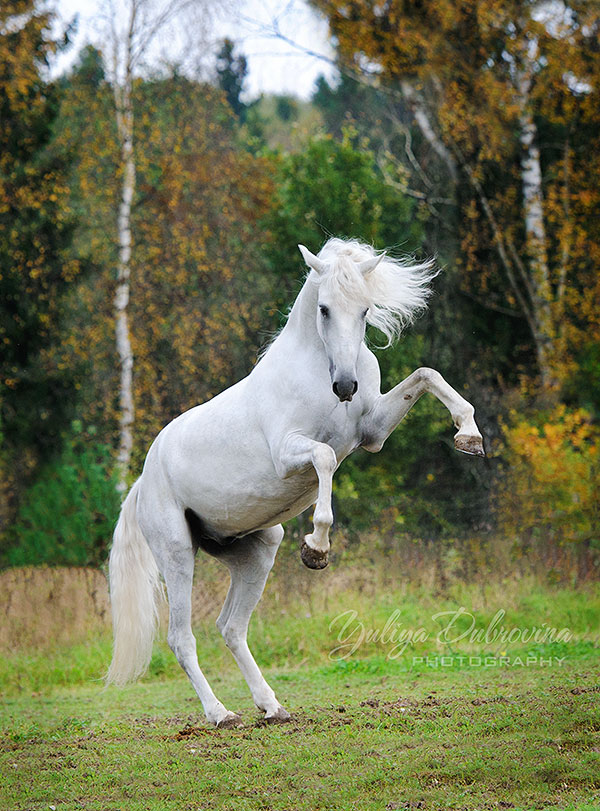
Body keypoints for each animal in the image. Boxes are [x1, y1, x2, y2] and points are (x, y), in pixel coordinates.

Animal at [105, 236, 486, 728]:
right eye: (324, 308)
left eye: (365, 309)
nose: (345, 386)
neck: (317, 368)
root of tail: (142, 481)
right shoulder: (289, 454)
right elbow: (324, 458)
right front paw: (317, 548)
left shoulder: (373, 433)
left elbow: (427, 375)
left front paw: (469, 436)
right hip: (176, 553)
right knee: (181, 638)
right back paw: (221, 714)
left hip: (257, 550)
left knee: (231, 627)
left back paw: (272, 707)